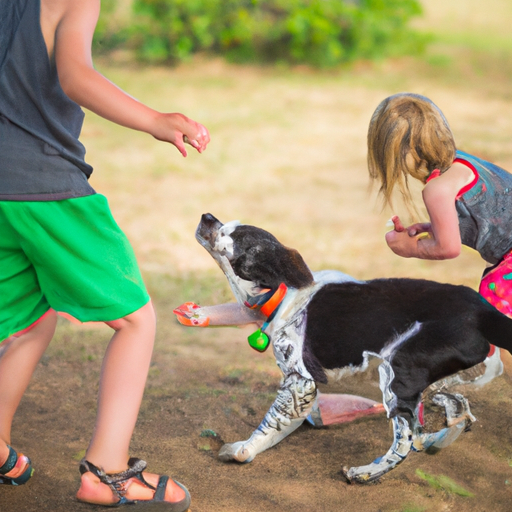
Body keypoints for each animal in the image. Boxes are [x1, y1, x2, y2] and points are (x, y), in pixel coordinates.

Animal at [174, 213, 510, 484]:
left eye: (233, 234)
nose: (207, 216)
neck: (285, 292)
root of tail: (482, 312)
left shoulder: (300, 385)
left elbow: (268, 427)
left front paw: (242, 449)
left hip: (397, 374)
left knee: (405, 441)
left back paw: (365, 473)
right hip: (428, 379)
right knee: (456, 409)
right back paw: (436, 438)